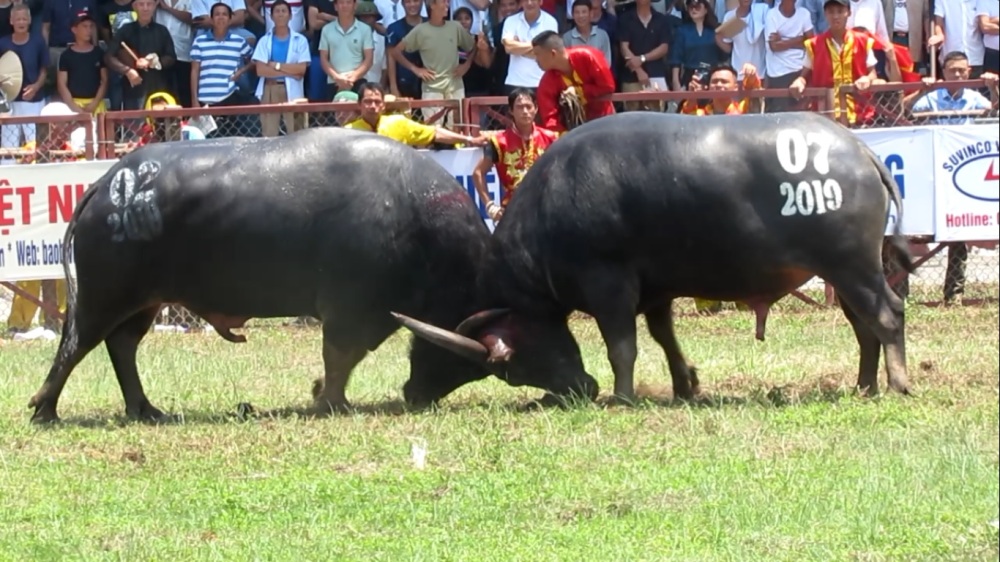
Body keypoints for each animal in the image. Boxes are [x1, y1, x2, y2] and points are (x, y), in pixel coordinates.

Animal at [29, 127, 498, 422]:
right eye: (460, 360)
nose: (418, 396)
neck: (413, 216)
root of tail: (107, 183)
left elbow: (345, 359)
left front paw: (323, 395)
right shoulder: (349, 311)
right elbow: (340, 357)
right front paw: (331, 402)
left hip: (144, 301)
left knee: (122, 346)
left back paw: (144, 409)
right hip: (105, 295)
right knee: (76, 345)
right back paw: (45, 409)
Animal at [390, 110, 916, 402]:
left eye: (511, 370)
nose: (413, 391)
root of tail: (858, 149)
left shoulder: (609, 284)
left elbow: (622, 346)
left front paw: (622, 396)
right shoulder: (657, 291)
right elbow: (665, 338)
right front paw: (686, 385)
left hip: (853, 266)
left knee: (887, 315)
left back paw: (899, 383)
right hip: (844, 273)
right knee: (863, 326)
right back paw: (864, 384)